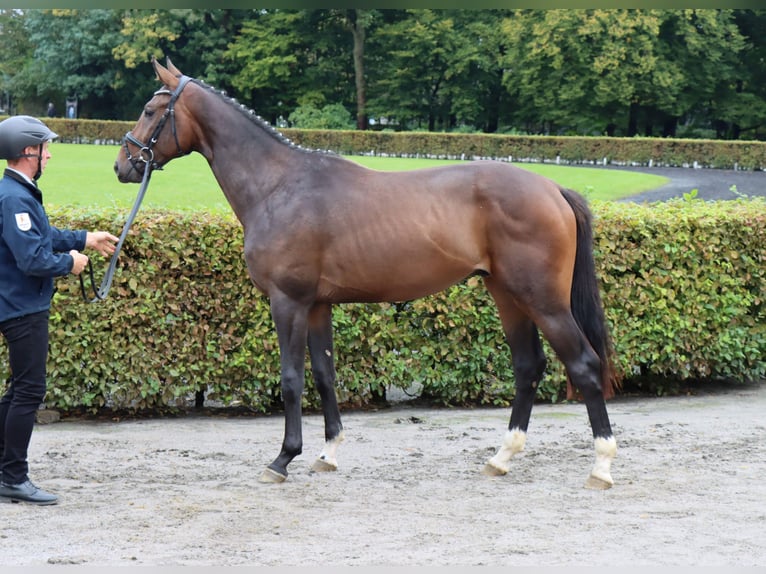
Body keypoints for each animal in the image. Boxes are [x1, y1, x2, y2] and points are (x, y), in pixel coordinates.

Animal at [112, 57, 616, 490]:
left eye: (150, 109)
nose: (122, 165)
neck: (279, 186)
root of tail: (553, 188)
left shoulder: (288, 301)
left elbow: (291, 378)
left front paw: (283, 459)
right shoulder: (317, 305)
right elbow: (323, 374)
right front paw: (328, 453)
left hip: (543, 300)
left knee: (584, 364)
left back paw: (602, 464)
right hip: (508, 295)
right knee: (528, 366)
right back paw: (501, 457)